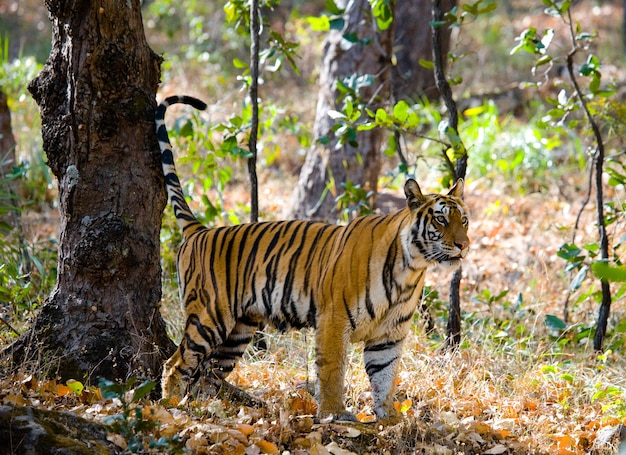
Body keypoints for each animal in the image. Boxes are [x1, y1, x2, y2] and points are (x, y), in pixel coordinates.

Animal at [156, 94, 468, 422]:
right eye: (441, 220)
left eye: (464, 220)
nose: (464, 244)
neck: (411, 268)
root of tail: (200, 231)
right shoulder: (334, 319)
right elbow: (332, 369)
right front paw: (334, 414)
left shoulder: (389, 335)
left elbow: (385, 376)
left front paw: (390, 418)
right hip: (209, 316)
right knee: (176, 364)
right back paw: (170, 409)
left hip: (237, 333)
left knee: (208, 372)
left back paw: (207, 410)